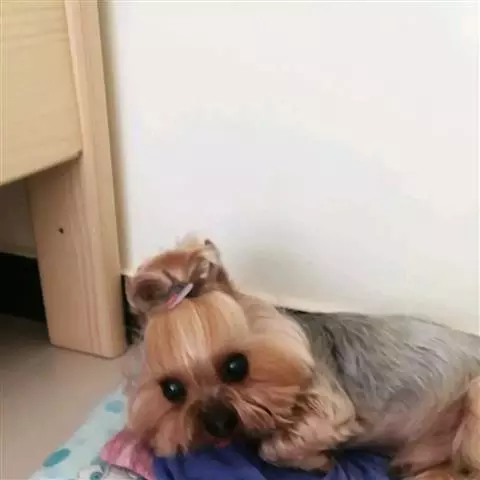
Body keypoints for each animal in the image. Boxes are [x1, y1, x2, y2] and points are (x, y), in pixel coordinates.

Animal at [125, 236, 480, 479]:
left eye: (236, 366)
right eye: (172, 390)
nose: (219, 424)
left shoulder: (330, 405)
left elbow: (272, 449)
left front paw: (318, 460)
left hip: (473, 399)